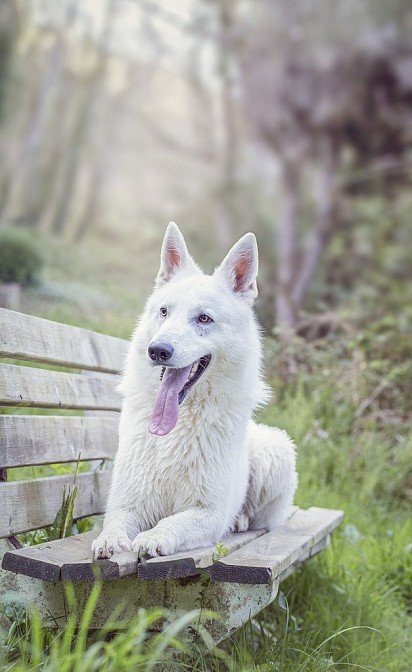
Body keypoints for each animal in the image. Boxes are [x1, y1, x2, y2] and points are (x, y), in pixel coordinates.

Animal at [91, 223, 296, 560]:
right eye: (164, 311)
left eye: (204, 318)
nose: (158, 351)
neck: (177, 426)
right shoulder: (128, 501)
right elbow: (115, 520)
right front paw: (110, 540)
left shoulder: (207, 513)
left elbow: (172, 522)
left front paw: (152, 537)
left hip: (275, 451)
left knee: (260, 516)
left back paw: (241, 520)